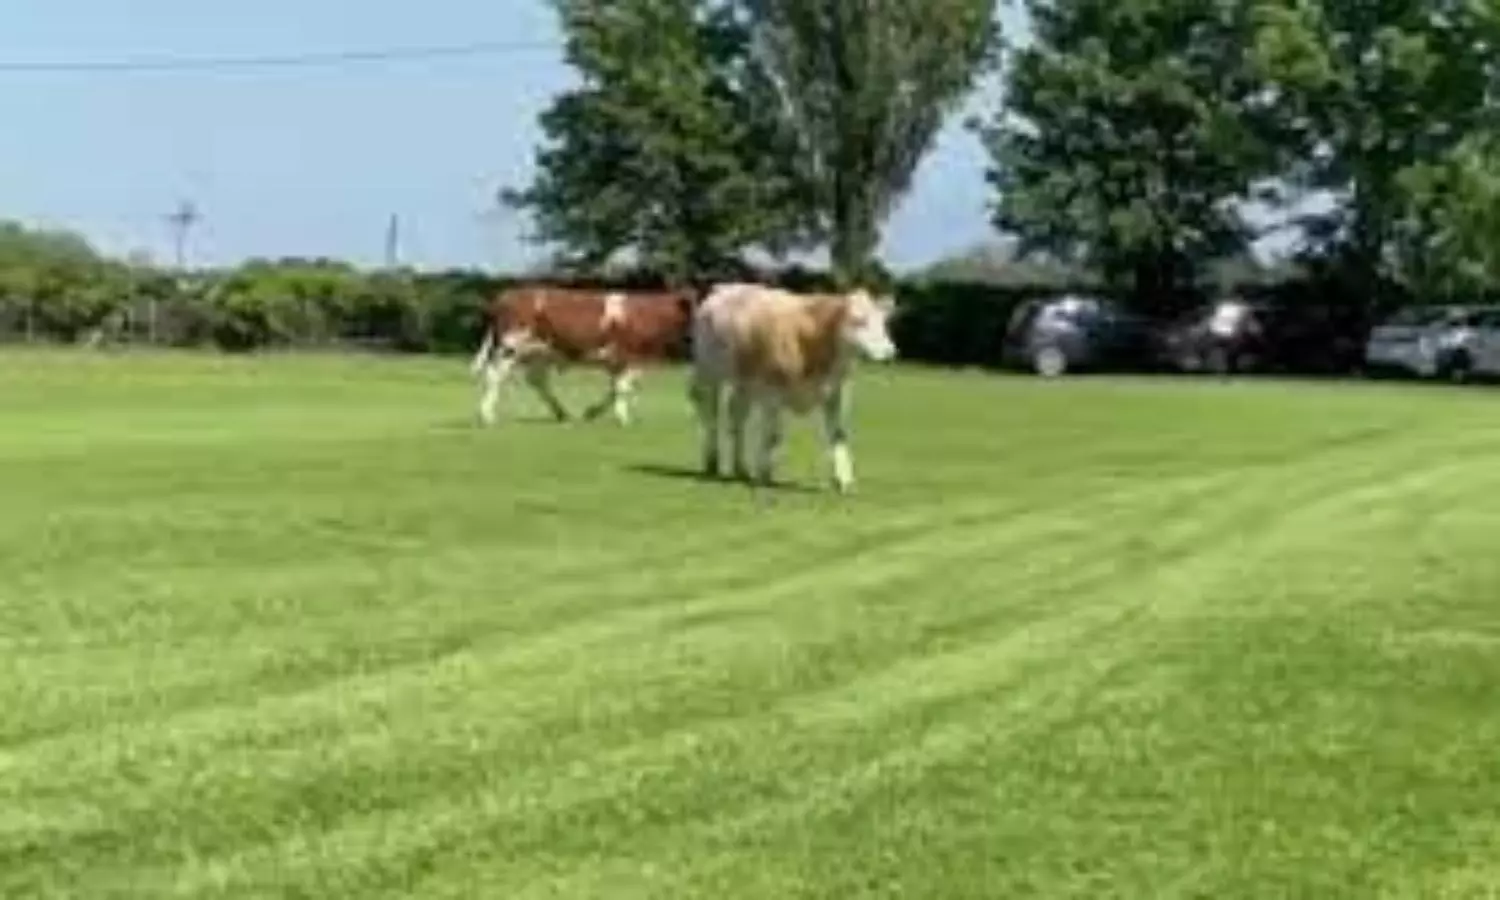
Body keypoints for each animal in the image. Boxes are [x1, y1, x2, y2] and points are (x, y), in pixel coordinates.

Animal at [470, 285, 696, 426]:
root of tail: (506, 296)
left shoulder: (622, 362)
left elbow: (615, 389)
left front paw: (593, 412)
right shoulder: (628, 357)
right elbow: (622, 389)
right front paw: (623, 418)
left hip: (538, 353)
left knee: (537, 381)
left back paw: (562, 413)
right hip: (510, 348)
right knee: (494, 376)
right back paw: (486, 415)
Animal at [687, 282, 898, 493]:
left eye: (883, 323)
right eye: (859, 321)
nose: (890, 352)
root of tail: (725, 288)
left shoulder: (834, 394)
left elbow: (838, 435)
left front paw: (843, 480)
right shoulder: (772, 393)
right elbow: (772, 436)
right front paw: (764, 474)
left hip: (743, 383)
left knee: (737, 418)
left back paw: (741, 468)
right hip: (709, 373)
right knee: (711, 416)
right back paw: (712, 462)